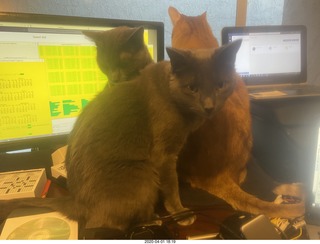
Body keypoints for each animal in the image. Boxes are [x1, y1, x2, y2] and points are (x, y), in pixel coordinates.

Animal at [0, 38, 240, 233]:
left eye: (220, 85)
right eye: (192, 88)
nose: (209, 106)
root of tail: (75, 201)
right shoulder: (164, 155)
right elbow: (171, 187)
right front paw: (181, 212)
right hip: (142, 174)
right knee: (107, 223)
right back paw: (153, 219)